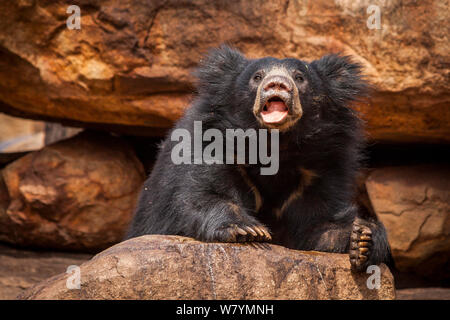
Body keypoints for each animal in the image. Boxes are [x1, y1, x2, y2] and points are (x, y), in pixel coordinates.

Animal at [125, 45, 390, 272]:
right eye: (257, 77)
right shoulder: (208, 145)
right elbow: (198, 197)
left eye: (299, 77)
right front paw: (248, 229)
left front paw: (363, 239)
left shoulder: (323, 167)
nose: (277, 84)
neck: (274, 146)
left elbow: (318, 223)